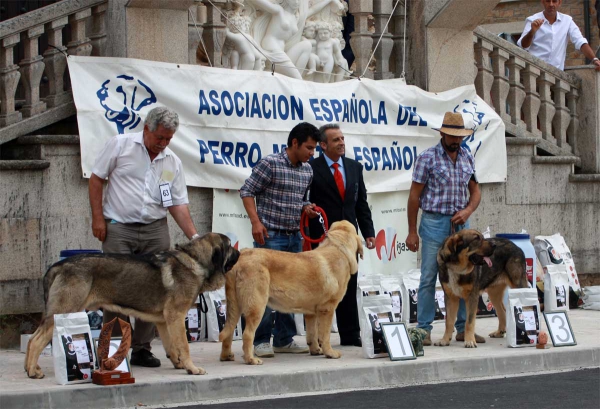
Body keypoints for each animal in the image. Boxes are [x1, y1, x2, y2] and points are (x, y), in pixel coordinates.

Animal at [24, 231, 239, 378]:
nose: (238, 250)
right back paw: (33, 372)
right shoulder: (176, 316)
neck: (195, 260)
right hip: (64, 311)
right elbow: (183, 345)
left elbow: (172, 345)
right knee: (36, 340)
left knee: (32, 338)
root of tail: (59, 265)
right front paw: (192, 368)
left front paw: (179, 364)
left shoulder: (164, 321)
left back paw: (30, 367)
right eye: (229, 246)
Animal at [219, 220, 364, 364]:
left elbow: (312, 333)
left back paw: (226, 356)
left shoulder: (311, 313)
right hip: (257, 306)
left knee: (229, 332)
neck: (338, 248)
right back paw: (251, 359)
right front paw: (330, 352)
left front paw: (316, 350)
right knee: (248, 334)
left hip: (235, 307)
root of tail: (240, 258)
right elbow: (325, 334)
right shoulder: (327, 309)